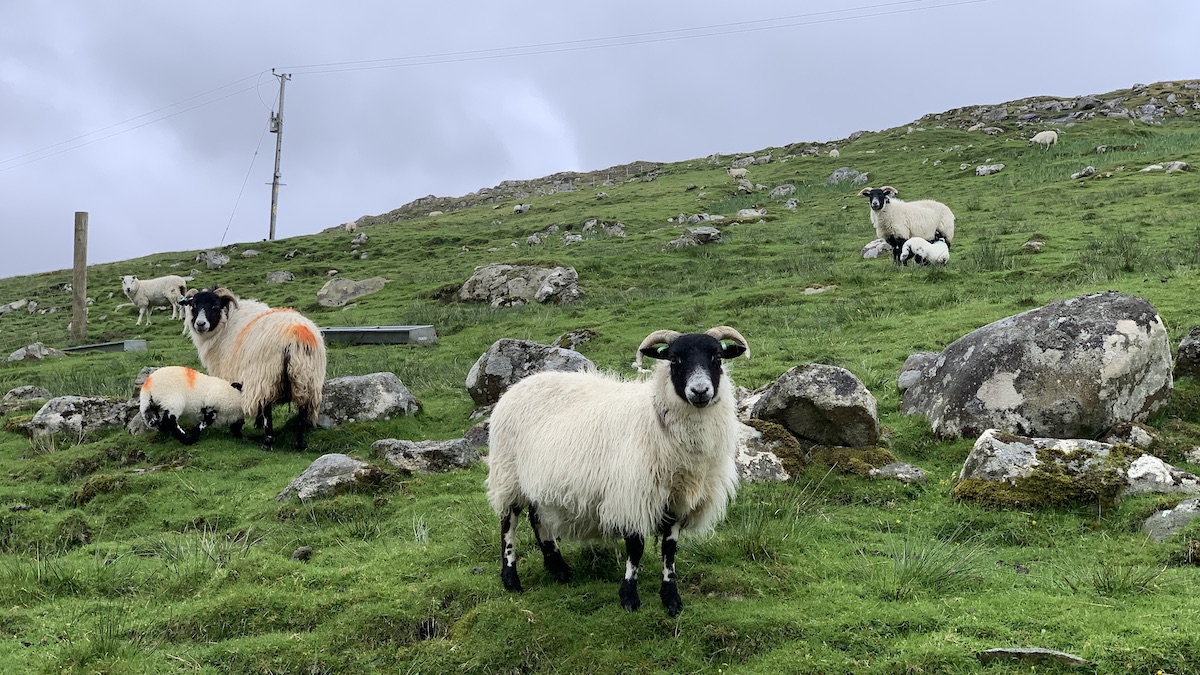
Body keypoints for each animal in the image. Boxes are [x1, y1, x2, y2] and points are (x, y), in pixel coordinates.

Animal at [178, 287, 327, 451]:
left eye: (215, 306)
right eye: (194, 305)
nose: (200, 324)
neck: (226, 322)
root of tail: (295, 335)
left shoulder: (233, 373)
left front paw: (236, 428)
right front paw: (254, 424)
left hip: (265, 374)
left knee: (267, 407)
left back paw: (268, 441)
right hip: (307, 377)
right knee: (303, 408)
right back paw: (299, 443)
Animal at [486, 326, 749, 617]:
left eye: (717, 357)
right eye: (675, 359)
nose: (700, 391)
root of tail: (518, 385)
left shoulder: (676, 500)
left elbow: (669, 549)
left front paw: (671, 597)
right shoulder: (631, 495)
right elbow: (635, 548)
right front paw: (629, 597)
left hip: (539, 481)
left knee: (537, 518)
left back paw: (559, 569)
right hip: (508, 473)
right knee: (508, 523)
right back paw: (511, 578)